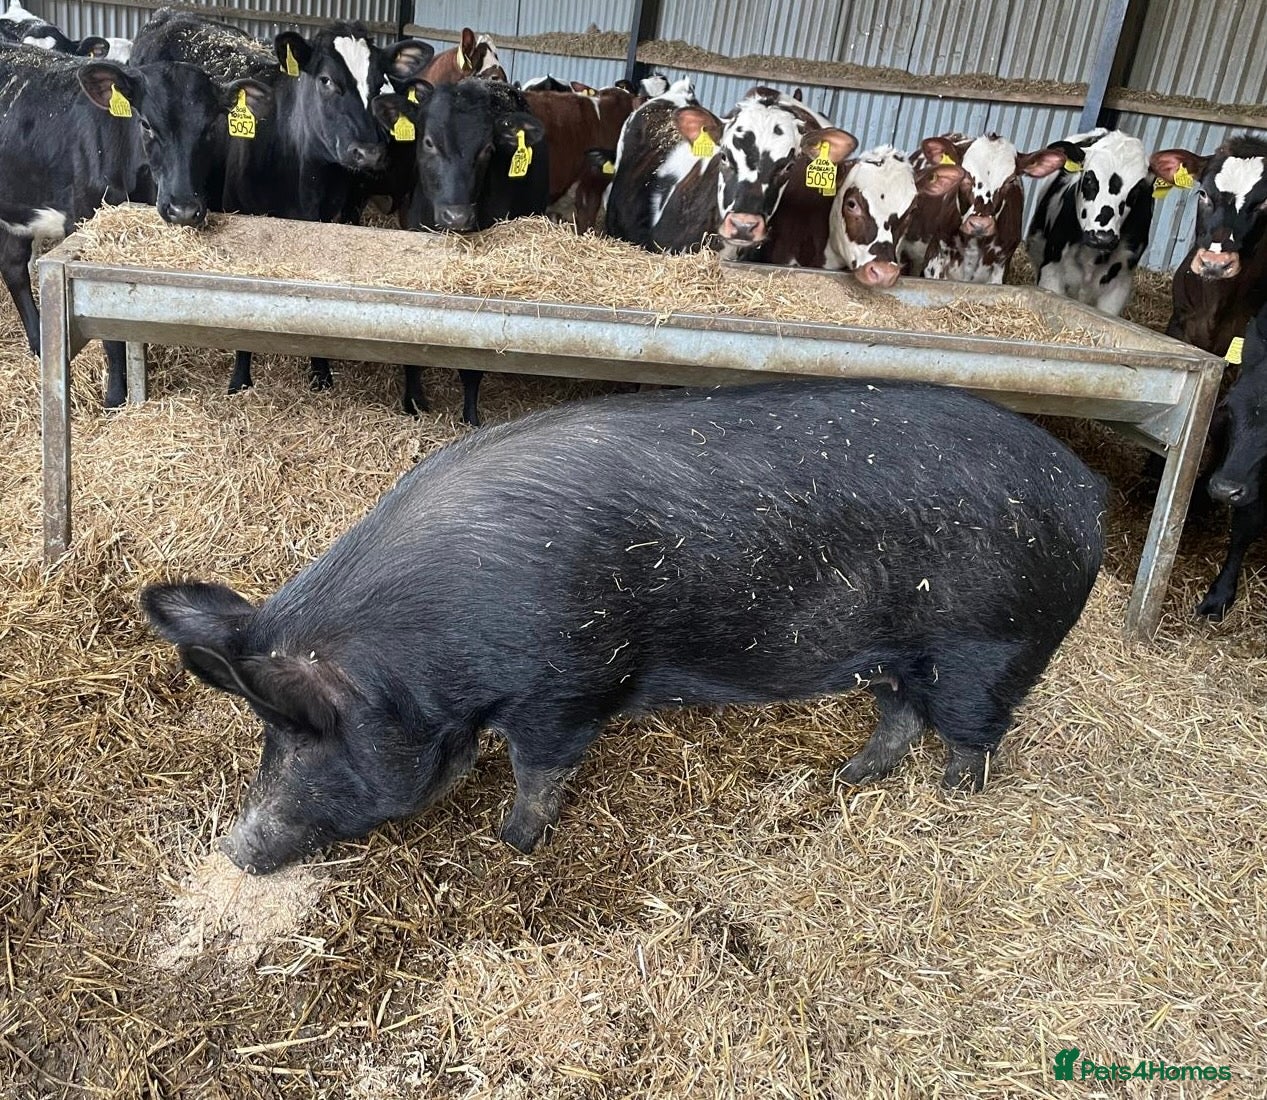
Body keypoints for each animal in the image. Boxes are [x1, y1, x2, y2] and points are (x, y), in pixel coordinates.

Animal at [142, 378, 1106, 873]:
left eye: (304, 737)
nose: (235, 850)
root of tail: (1084, 491)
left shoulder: (568, 684)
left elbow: (541, 770)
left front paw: (514, 844)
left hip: (992, 647)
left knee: (974, 737)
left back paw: (946, 806)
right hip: (913, 652)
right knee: (900, 711)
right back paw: (847, 779)